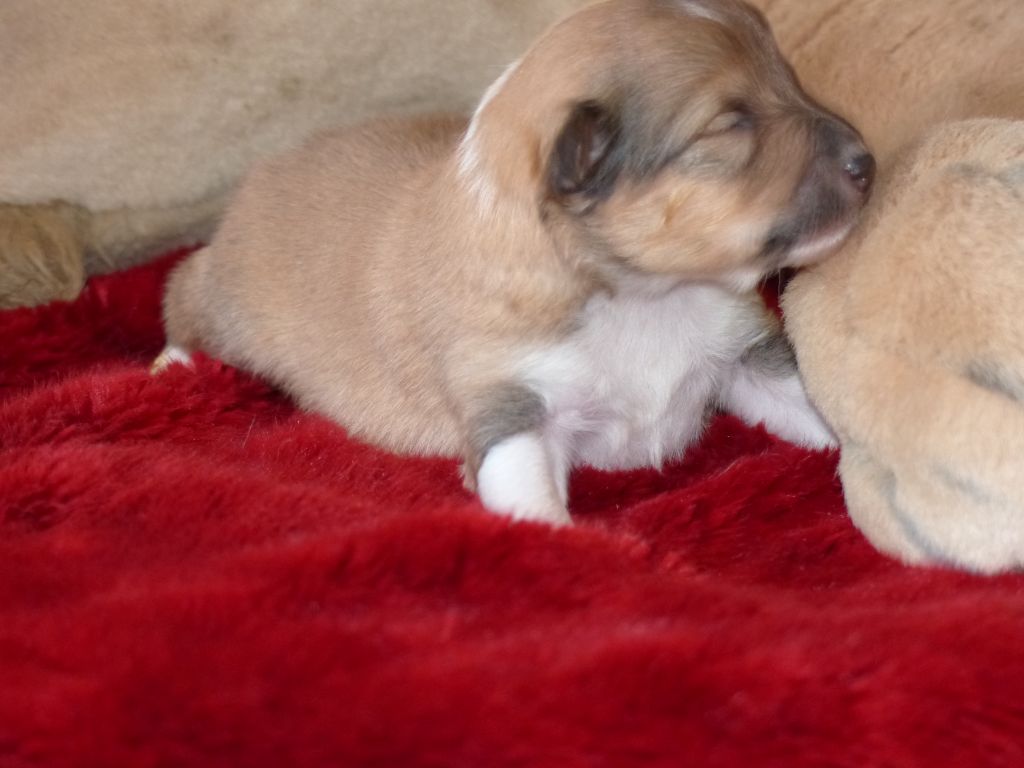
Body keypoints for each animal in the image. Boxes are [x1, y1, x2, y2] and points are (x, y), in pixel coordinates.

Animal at [157, 0, 872, 528]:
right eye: (729, 123)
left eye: (788, 76)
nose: (867, 162)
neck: (643, 298)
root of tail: (266, 169)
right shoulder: (510, 411)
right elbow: (532, 507)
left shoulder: (747, 356)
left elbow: (816, 414)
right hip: (227, 300)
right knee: (182, 290)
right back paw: (173, 363)